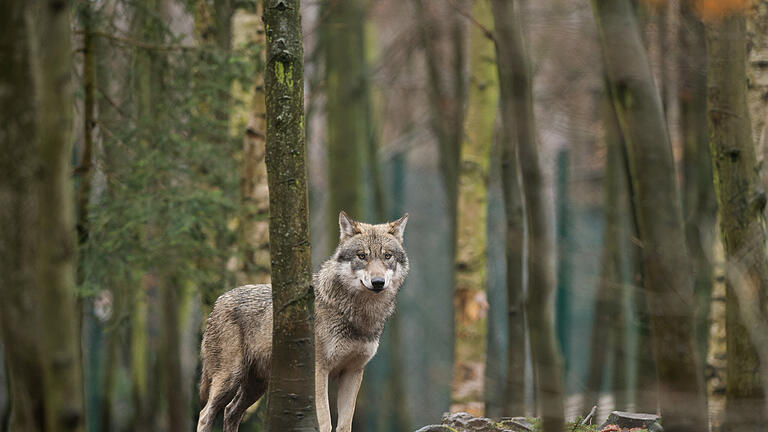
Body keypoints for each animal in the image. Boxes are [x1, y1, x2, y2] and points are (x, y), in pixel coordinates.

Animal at [196, 211, 408, 430]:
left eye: (387, 256)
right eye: (362, 256)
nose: (378, 282)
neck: (358, 315)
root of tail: (218, 301)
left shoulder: (353, 372)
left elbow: (344, 425)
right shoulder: (319, 372)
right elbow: (325, 422)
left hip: (257, 385)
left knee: (231, 411)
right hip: (230, 378)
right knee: (206, 413)